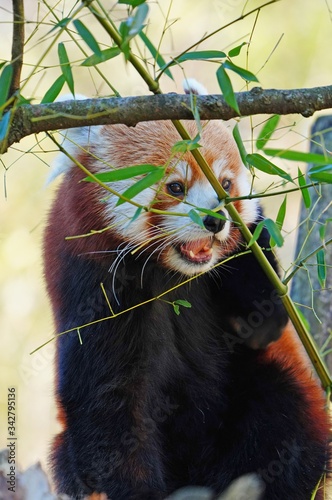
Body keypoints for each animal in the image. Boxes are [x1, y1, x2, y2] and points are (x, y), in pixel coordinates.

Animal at [44, 84, 330, 498]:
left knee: (281, 418)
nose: (216, 220)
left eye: (224, 184)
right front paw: (135, 490)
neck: (173, 274)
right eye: (176, 187)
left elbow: (266, 323)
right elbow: (111, 403)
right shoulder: (90, 287)